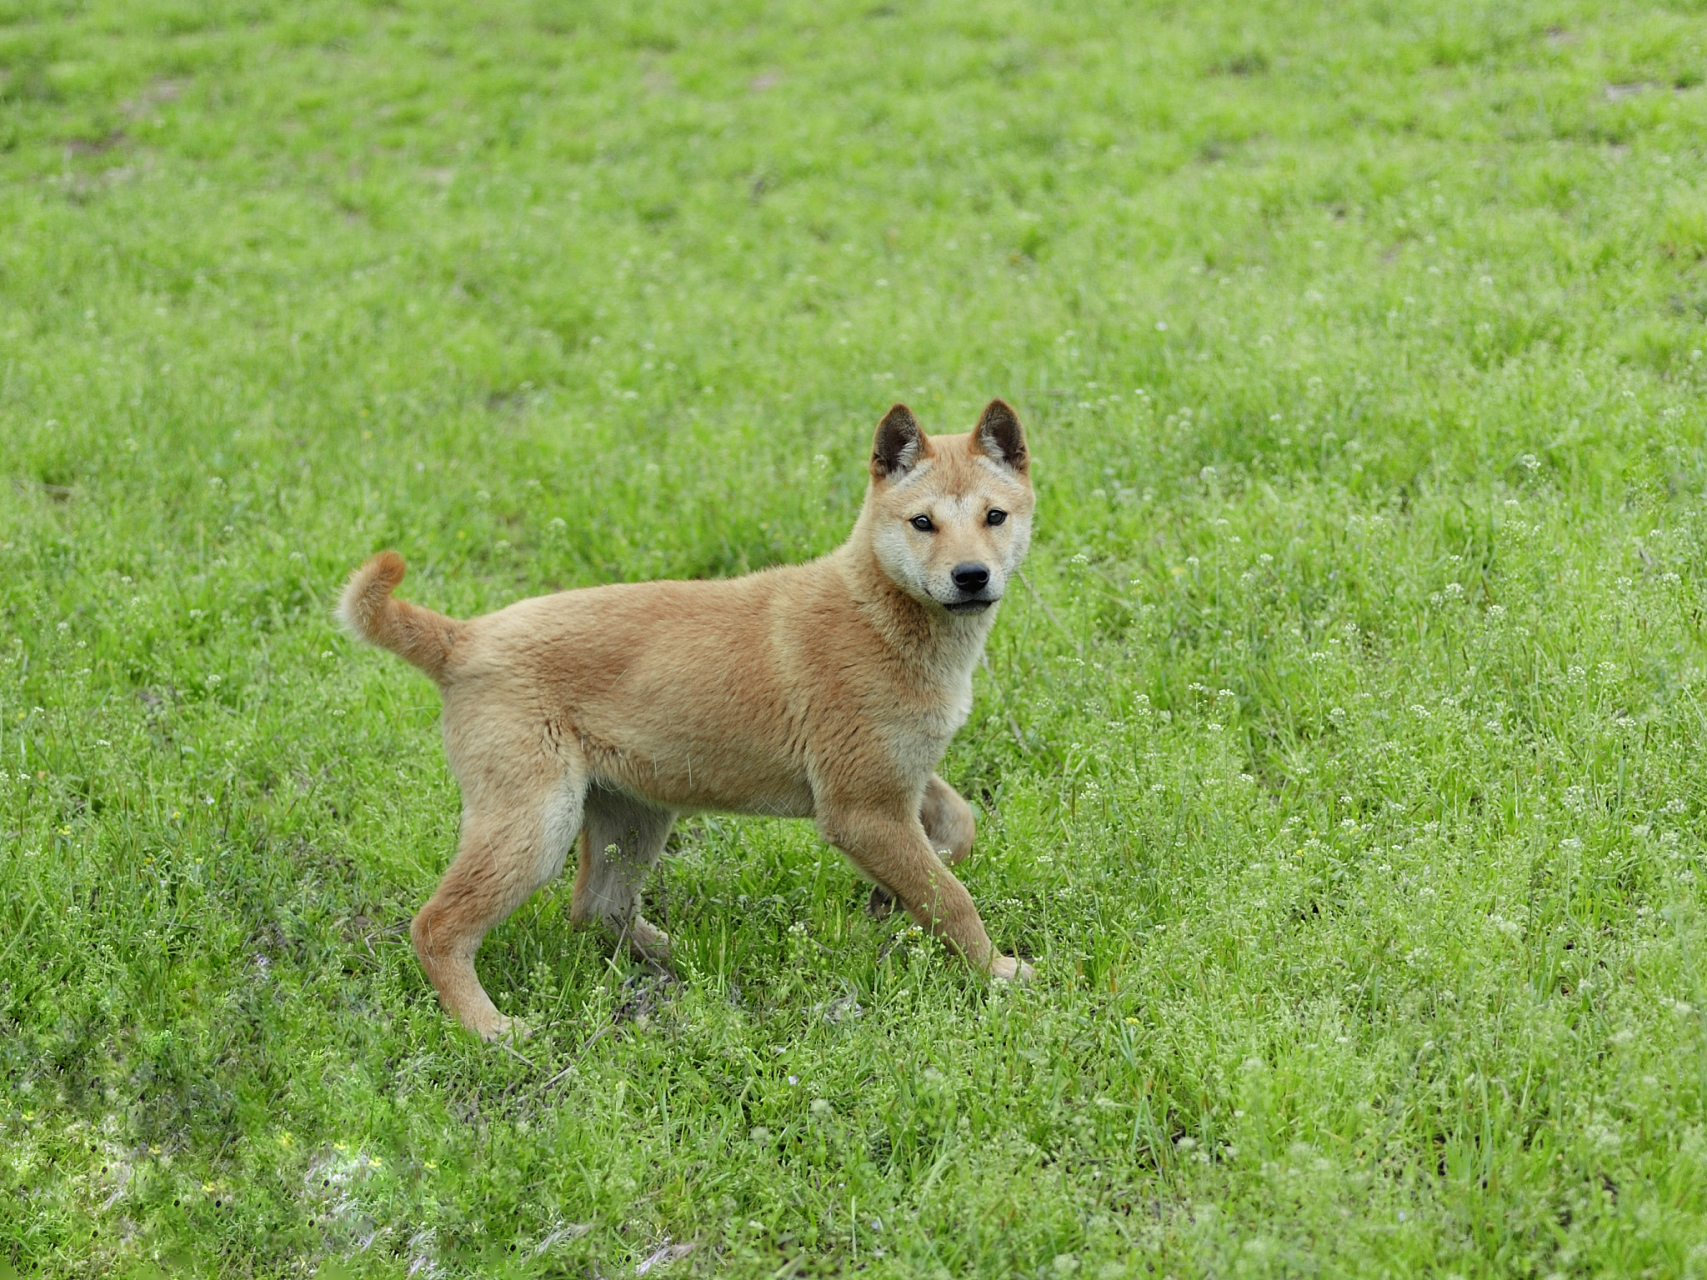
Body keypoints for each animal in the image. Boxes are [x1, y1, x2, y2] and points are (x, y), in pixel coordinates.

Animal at [339, 401, 1037, 1044]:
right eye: (923, 523)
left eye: (994, 517)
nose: (971, 577)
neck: (882, 614)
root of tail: (463, 639)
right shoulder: (860, 806)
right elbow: (953, 899)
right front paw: (996, 970)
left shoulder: (896, 780)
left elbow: (956, 831)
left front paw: (895, 896)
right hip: (535, 824)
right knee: (438, 926)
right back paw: (489, 1028)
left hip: (633, 813)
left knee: (596, 908)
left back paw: (695, 963)